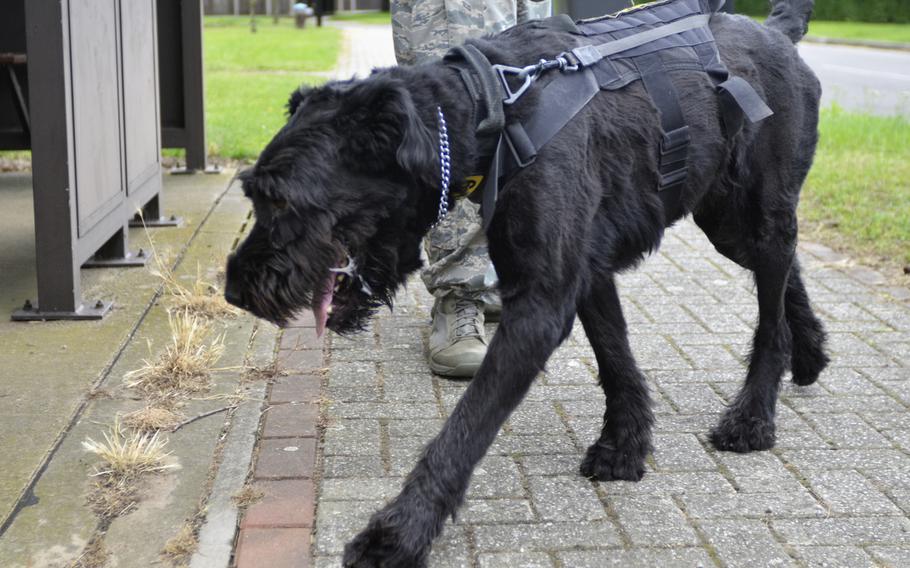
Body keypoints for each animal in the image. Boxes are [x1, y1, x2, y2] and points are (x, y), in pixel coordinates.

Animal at [226, 0, 828, 564]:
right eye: (254, 194)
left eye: (282, 200)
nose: (235, 291)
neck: (489, 110)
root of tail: (776, 33)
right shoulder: (586, 270)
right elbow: (615, 357)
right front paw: (624, 445)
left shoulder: (540, 302)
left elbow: (467, 425)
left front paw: (399, 530)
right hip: (728, 219)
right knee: (786, 275)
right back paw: (811, 354)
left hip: (756, 210)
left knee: (771, 309)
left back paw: (753, 416)